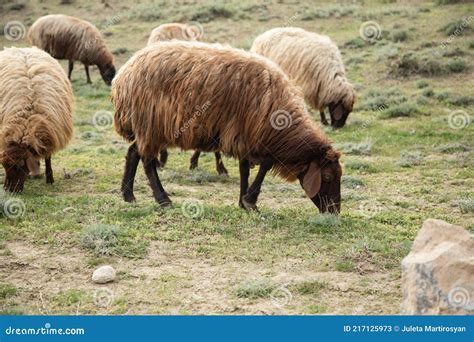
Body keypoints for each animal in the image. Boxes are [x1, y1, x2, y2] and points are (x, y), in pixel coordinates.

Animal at [0, 47, 73, 194]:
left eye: (19, 166)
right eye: (4, 166)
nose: (9, 190)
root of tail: (20, 48)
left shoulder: (49, 132)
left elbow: (48, 157)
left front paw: (49, 179)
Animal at [113, 41, 342, 214]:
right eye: (328, 177)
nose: (334, 211)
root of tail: (124, 75)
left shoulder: (244, 136)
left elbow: (244, 169)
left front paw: (243, 201)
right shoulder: (252, 135)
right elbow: (265, 164)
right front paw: (250, 201)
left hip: (146, 127)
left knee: (133, 152)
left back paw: (128, 195)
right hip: (150, 123)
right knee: (147, 161)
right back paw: (163, 200)